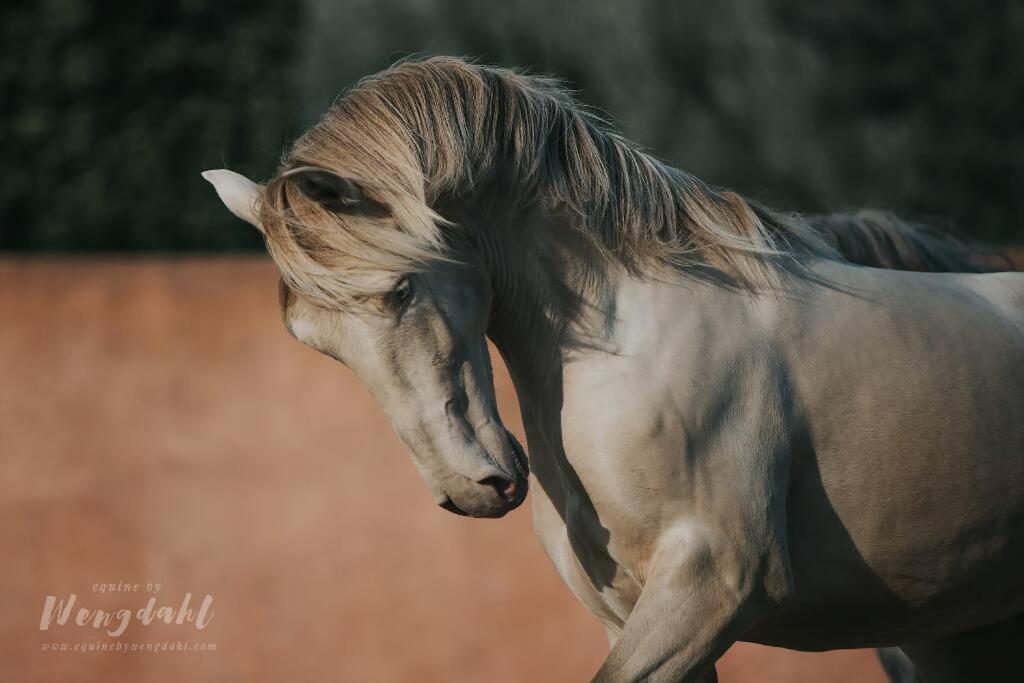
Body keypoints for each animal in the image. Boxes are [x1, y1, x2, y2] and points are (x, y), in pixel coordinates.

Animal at [201, 56, 1024, 679]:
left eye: (400, 288)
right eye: (318, 343)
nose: (471, 488)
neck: (633, 346)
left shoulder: (714, 588)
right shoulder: (632, 615)